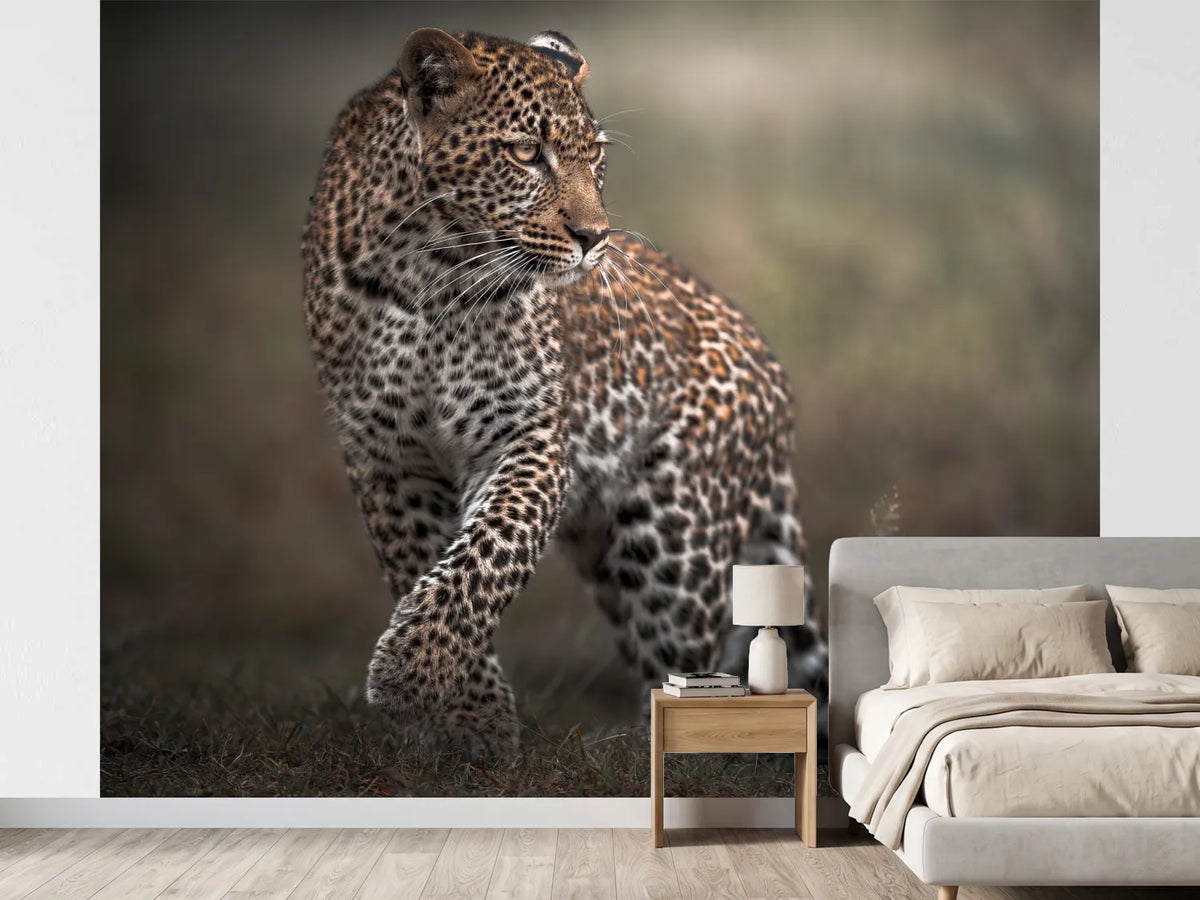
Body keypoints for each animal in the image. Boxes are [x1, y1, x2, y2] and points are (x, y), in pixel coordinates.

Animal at [302, 27, 829, 758]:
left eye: (596, 157)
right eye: (527, 153)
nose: (594, 238)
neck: (428, 273)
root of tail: (776, 381)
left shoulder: (526, 438)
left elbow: (485, 560)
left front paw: (412, 675)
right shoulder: (386, 456)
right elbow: (429, 570)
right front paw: (467, 718)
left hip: (672, 544)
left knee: (690, 672)